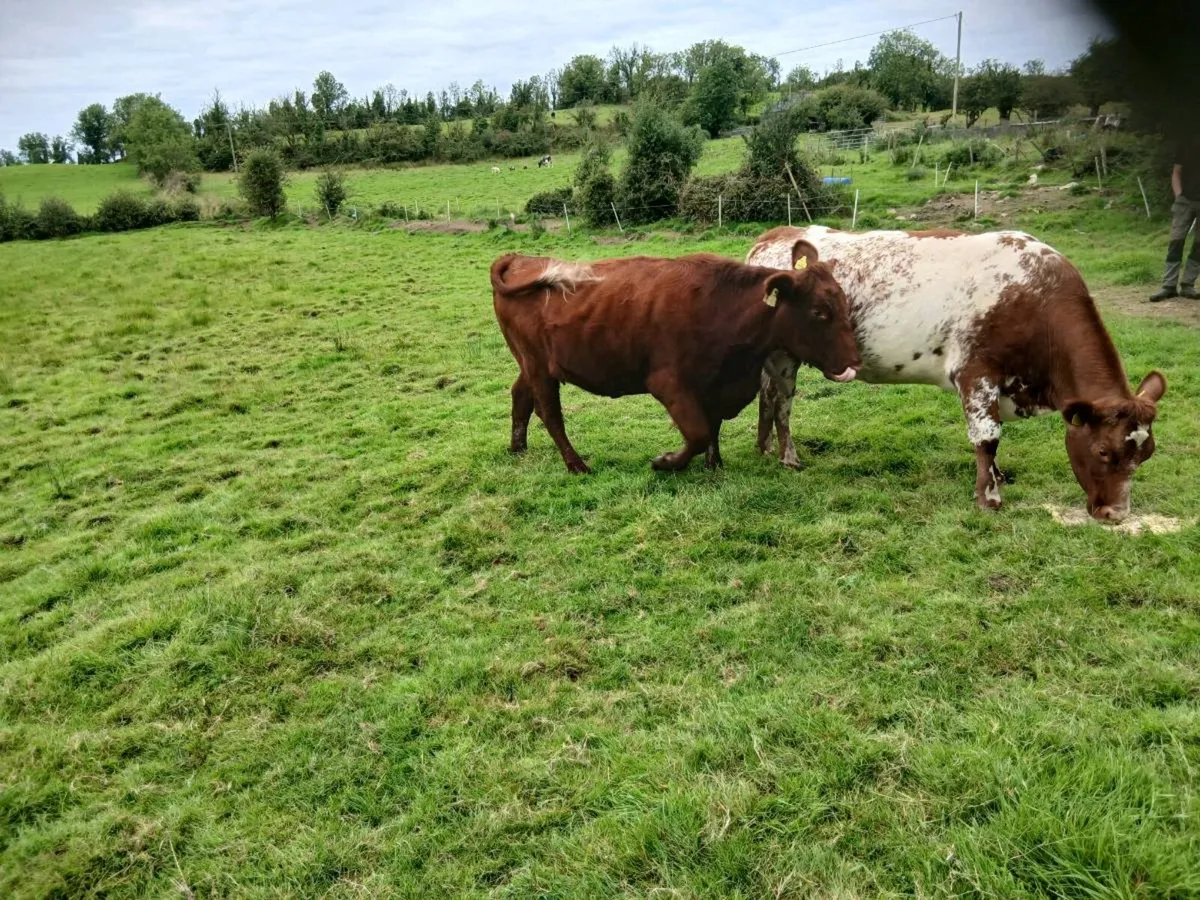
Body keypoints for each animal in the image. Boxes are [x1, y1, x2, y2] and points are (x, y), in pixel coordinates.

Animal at [491, 249, 861, 474]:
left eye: (844, 303)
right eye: (819, 312)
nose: (854, 360)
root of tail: (520, 258)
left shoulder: (718, 386)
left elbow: (712, 427)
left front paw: (715, 464)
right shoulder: (670, 384)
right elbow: (697, 433)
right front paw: (666, 462)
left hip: (530, 365)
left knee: (520, 397)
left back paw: (517, 448)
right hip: (540, 368)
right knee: (550, 414)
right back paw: (577, 465)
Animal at [747, 226, 1166, 521]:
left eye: (1146, 454)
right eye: (1102, 451)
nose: (1116, 514)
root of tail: (776, 234)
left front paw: (997, 477)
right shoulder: (976, 374)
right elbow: (988, 437)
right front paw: (989, 497)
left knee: (767, 396)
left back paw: (764, 448)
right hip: (784, 355)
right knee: (782, 402)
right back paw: (788, 456)